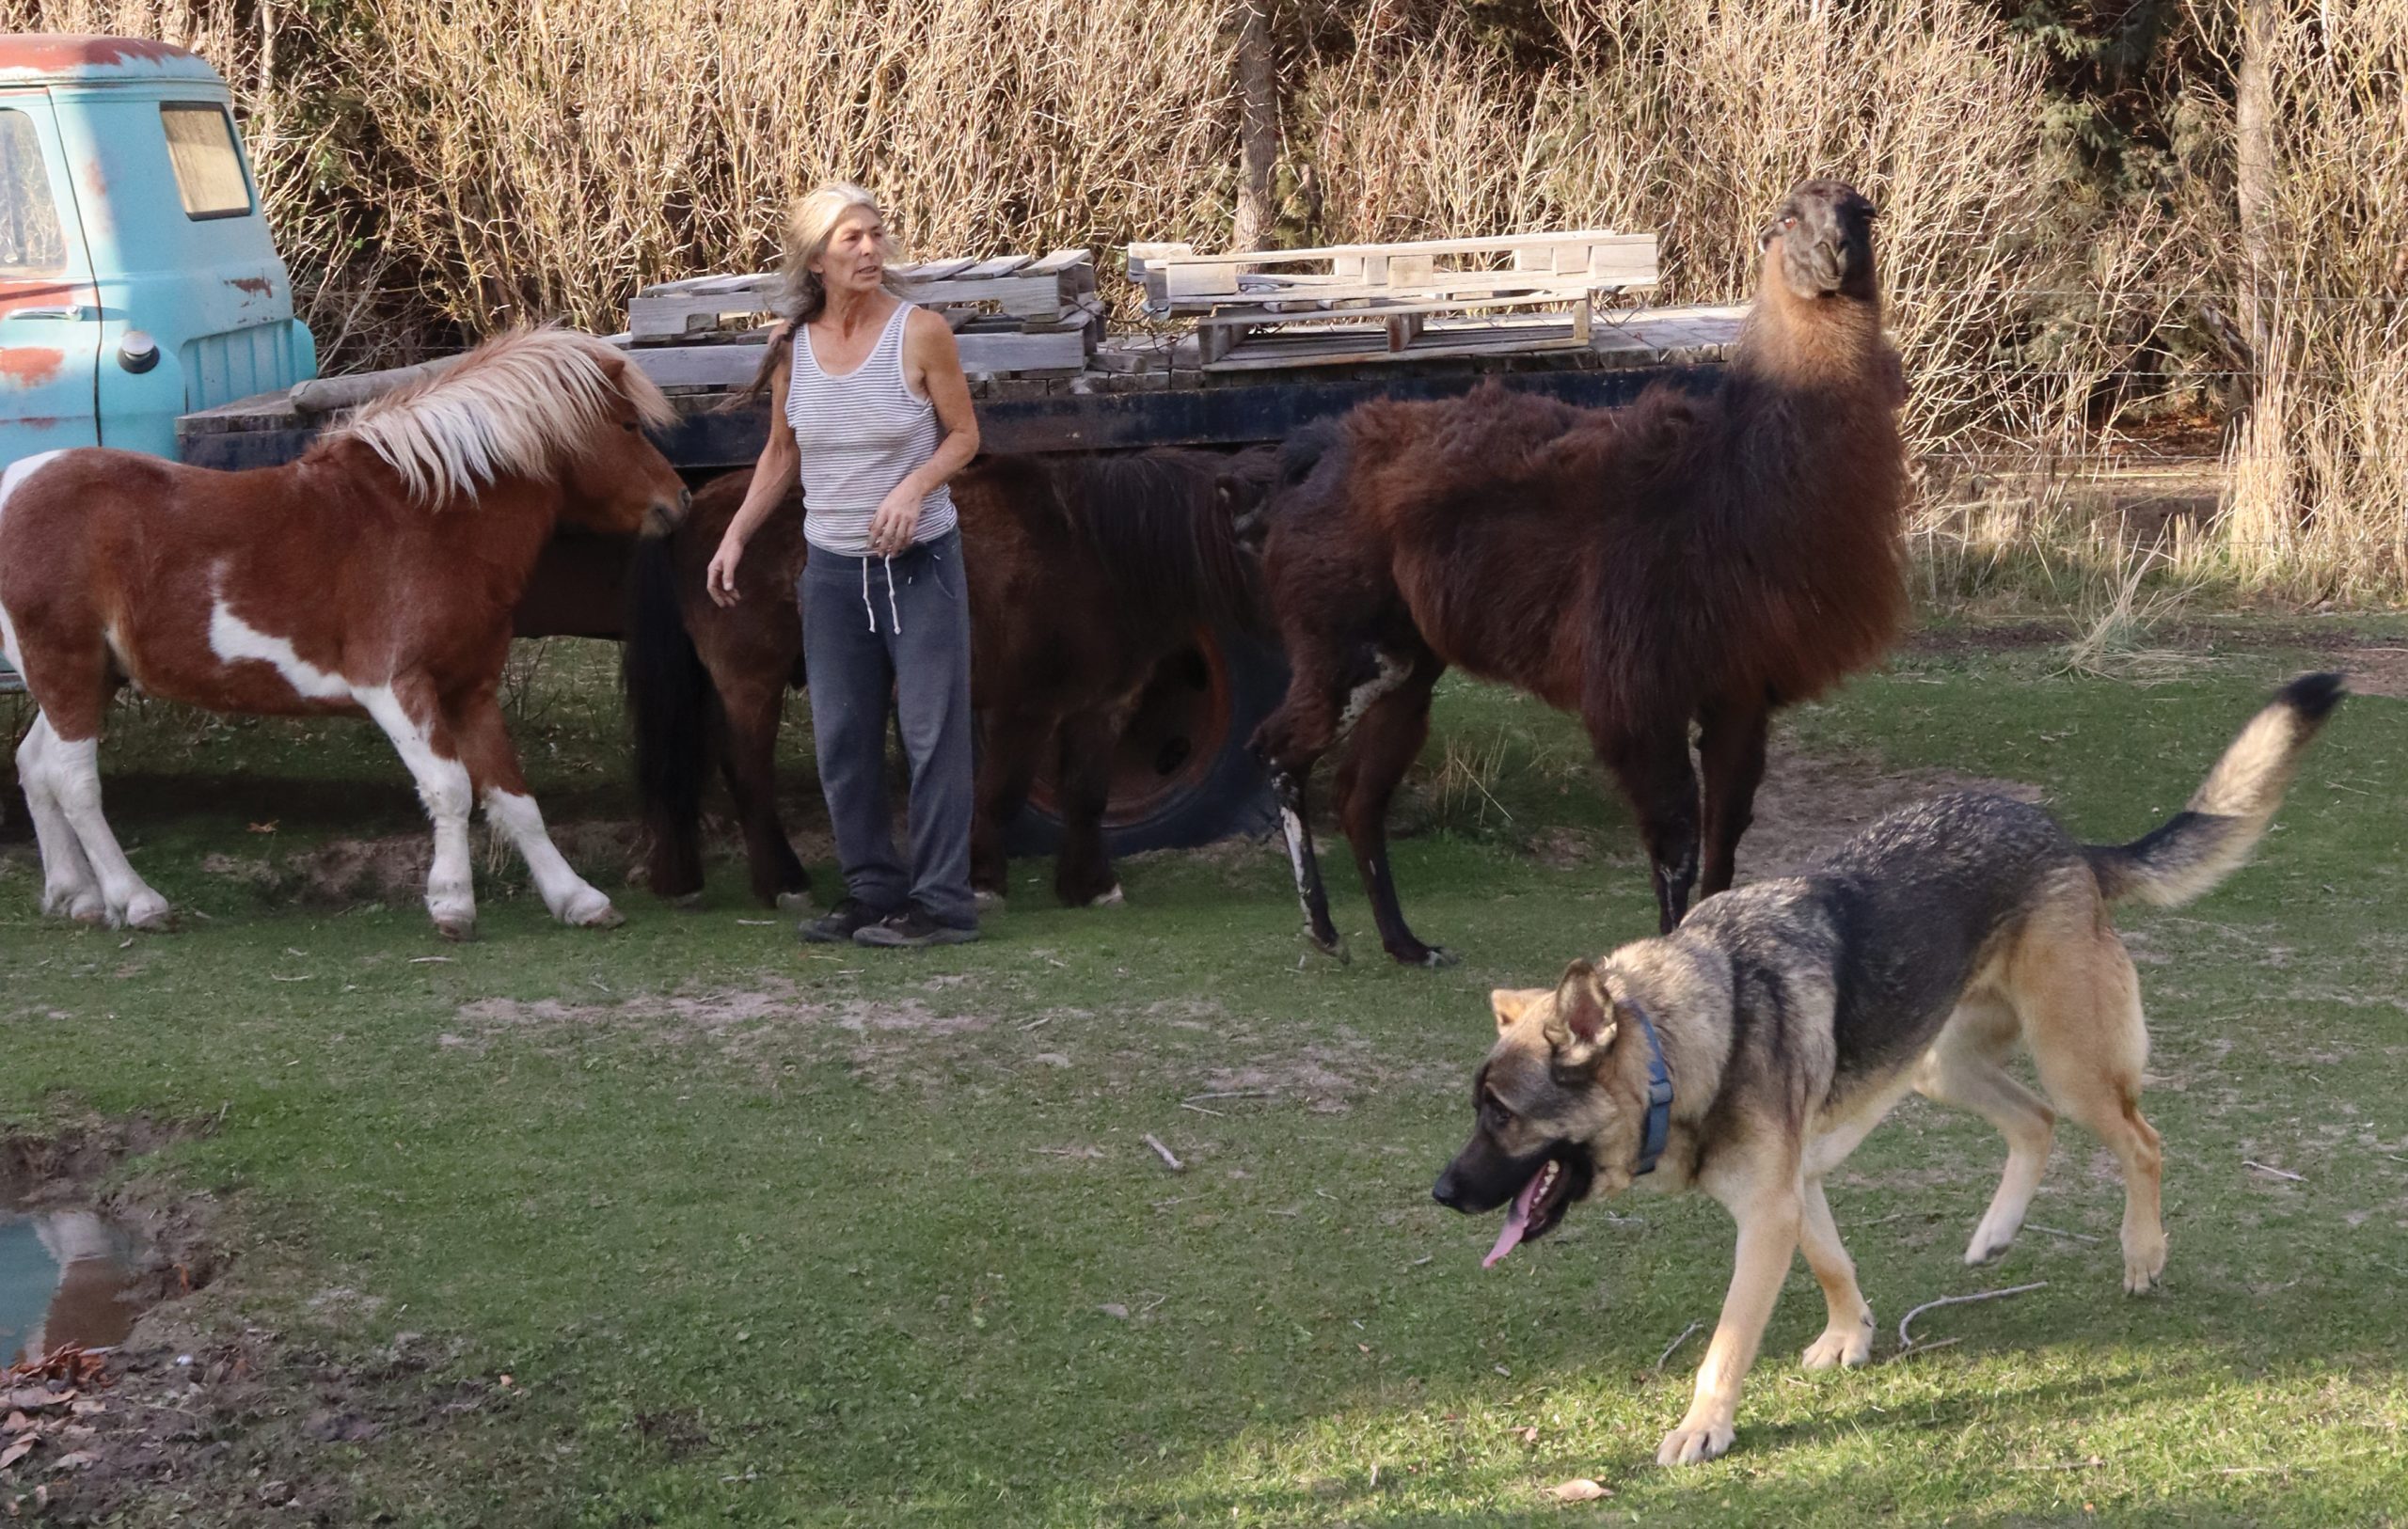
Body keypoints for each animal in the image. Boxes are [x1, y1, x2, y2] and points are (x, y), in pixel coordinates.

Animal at [0, 329, 689, 938]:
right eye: (629, 424)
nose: (678, 500)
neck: (424, 519)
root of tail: (15, 487)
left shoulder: (470, 691)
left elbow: (514, 799)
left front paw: (577, 899)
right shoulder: (394, 687)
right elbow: (450, 789)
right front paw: (453, 905)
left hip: (90, 677)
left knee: (36, 765)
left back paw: (77, 896)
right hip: (64, 667)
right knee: (76, 783)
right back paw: (137, 902)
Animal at [626, 448, 1280, 915]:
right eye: (1260, 542)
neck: (1093, 553)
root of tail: (699, 508)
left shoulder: (1102, 707)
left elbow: (1088, 796)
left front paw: (1089, 886)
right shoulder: (1024, 709)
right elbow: (1000, 793)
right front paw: (983, 881)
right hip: (751, 681)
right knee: (747, 773)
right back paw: (784, 882)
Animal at [1252, 182, 1907, 968]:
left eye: (1863, 214)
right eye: (1787, 219)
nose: (1834, 253)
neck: (1727, 494)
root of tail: (1317, 450)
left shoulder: (1741, 688)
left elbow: (1725, 841)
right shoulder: (1638, 685)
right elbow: (1676, 841)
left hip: (1408, 657)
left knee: (1357, 792)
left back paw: (1406, 944)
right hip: (1344, 636)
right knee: (1281, 750)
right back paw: (1323, 931)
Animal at [1434, 673, 2340, 1463]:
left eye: (1502, 1113)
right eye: (1479, 1109)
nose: (1441, 1193)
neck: (1682, 1047)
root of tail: (2063, 840)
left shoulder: (1765, 1212)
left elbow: (1727, 1341)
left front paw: (1704, 1427)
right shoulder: (1794, 1187)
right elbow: (1832, 1261)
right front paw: (1850, 1336)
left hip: (2071, 1062)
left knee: (2139, 1140)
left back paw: (2143, 1254)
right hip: (1943, 1065)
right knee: (2034, 1122)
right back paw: (1996, 1231)